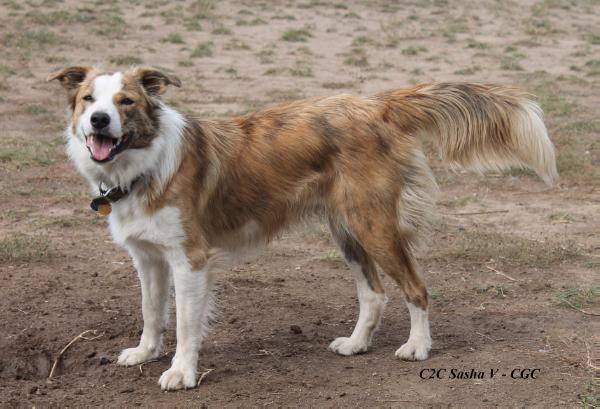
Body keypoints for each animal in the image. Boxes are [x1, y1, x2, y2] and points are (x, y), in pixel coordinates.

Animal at [49, 66, 560, 388]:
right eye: (87, 100)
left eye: (126, 102)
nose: (98, 120)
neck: (144, 162)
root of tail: (375, 104)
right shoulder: (148, 258)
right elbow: (152, 313)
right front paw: (146, 352)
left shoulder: (189, 261)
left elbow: (188, 325)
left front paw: (182, 373)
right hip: (347, 231)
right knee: (375, 293)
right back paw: (356, 344)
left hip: (374, 227)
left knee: (417, 288)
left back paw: (417, 347)